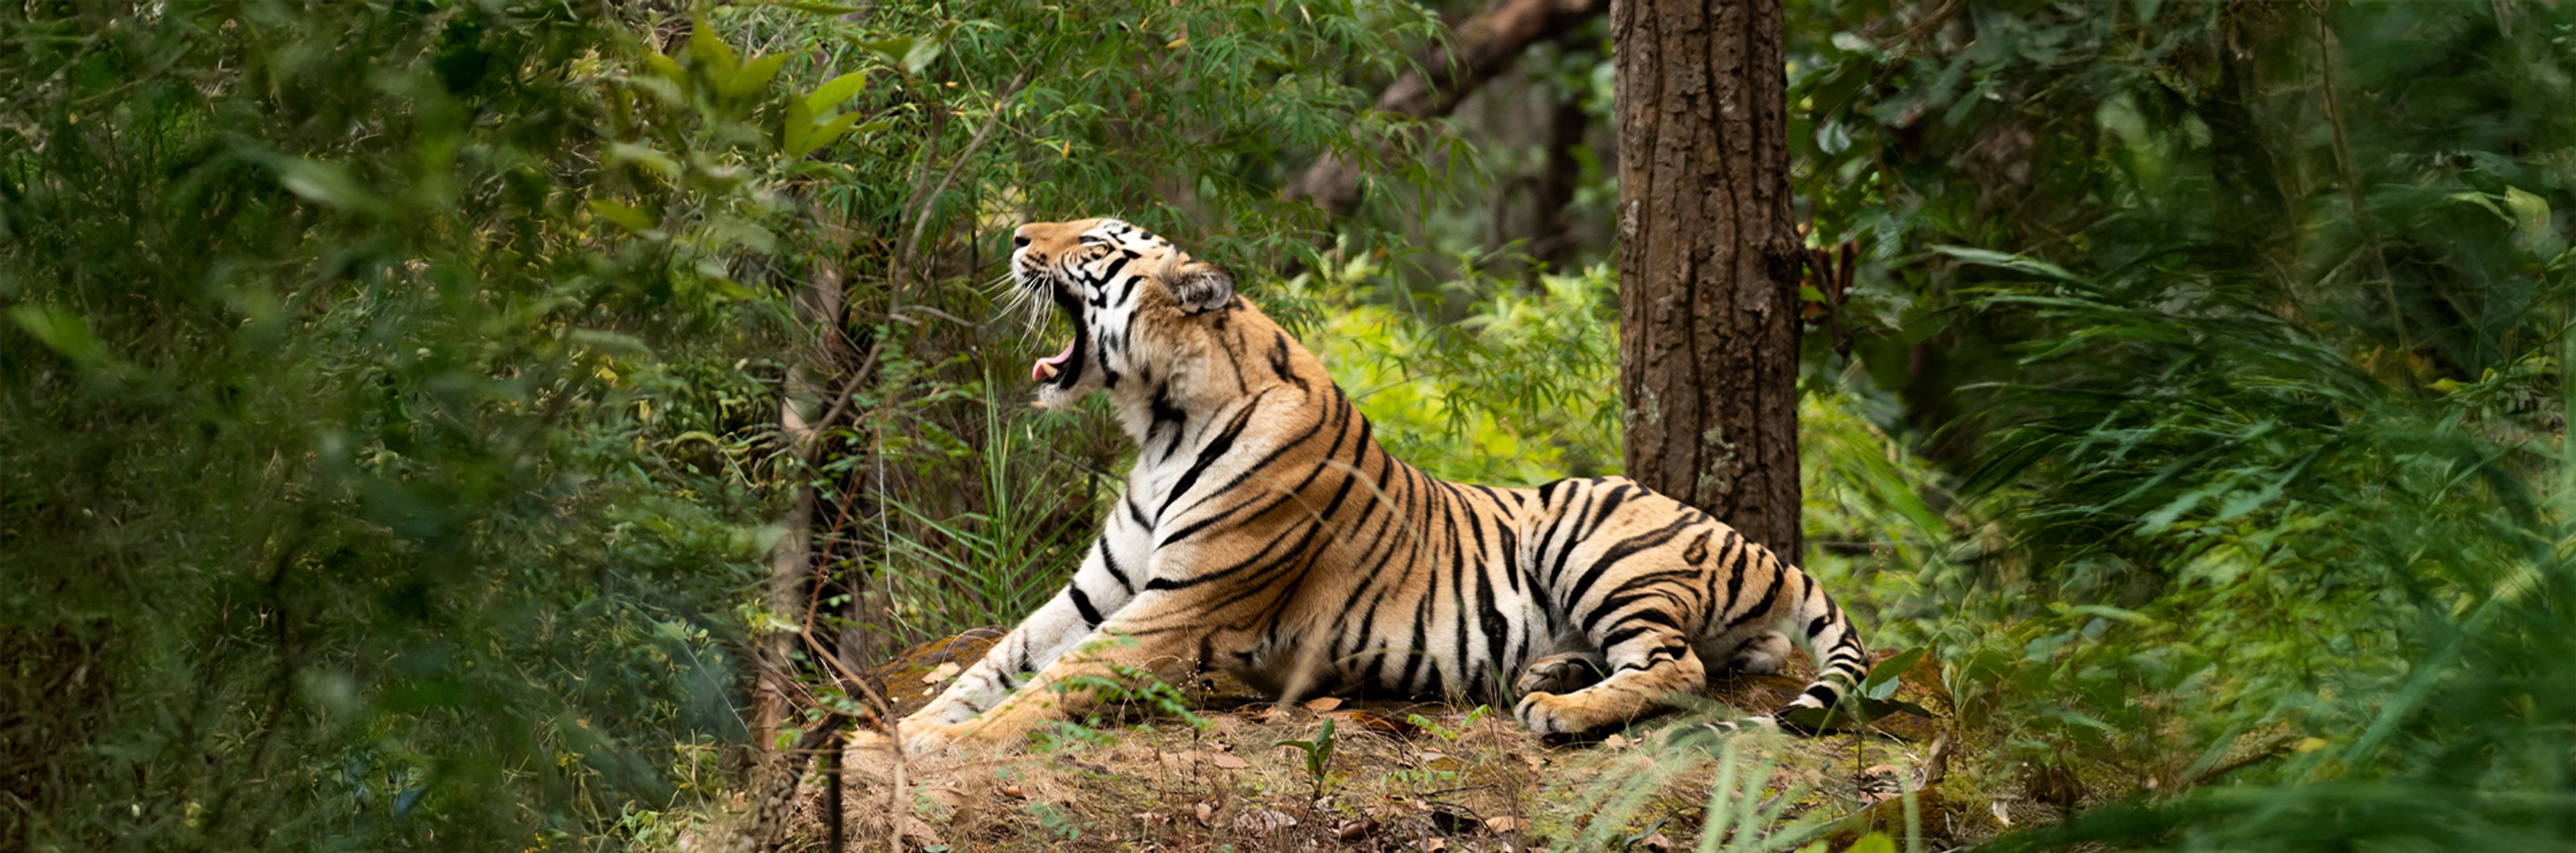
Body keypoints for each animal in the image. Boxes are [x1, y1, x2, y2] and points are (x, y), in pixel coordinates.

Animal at [868, 217, 1870, 756]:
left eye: (1093, 242)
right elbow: (1003, 660)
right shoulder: (1099, 587)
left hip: (1590, 531)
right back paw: (1550, 669)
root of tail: (1754, 543)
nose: (1014, 235)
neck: (1156, 421)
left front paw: (941, 744)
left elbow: (1052, 682)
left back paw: (1555, 707)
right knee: (1718, 656)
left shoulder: (1174, 608)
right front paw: (905, 729)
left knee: (1680, 667)